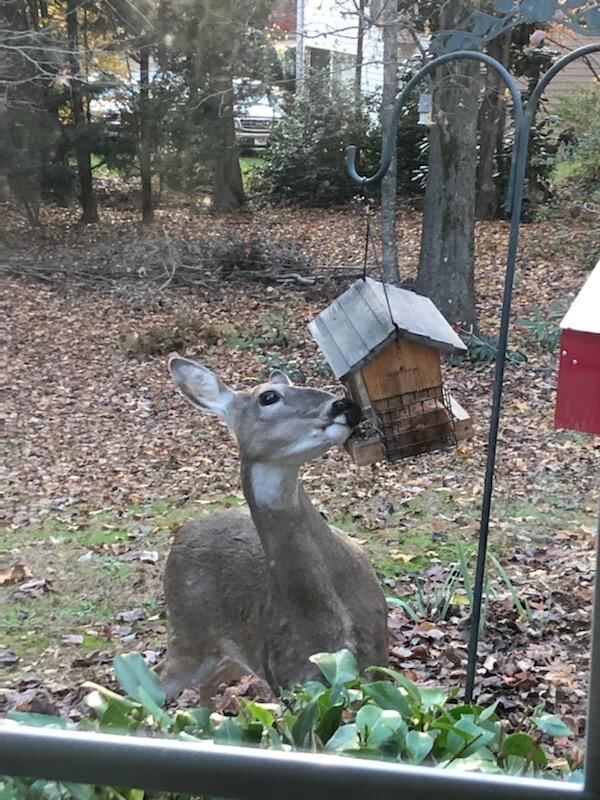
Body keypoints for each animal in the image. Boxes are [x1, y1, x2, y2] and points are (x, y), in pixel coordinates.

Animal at [163, 356, 390, 700]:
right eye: (268, 396)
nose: (344, 405)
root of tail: (183, 532)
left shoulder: (379, 659)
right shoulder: (288, 679)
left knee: (208, 683)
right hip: (187, 636)